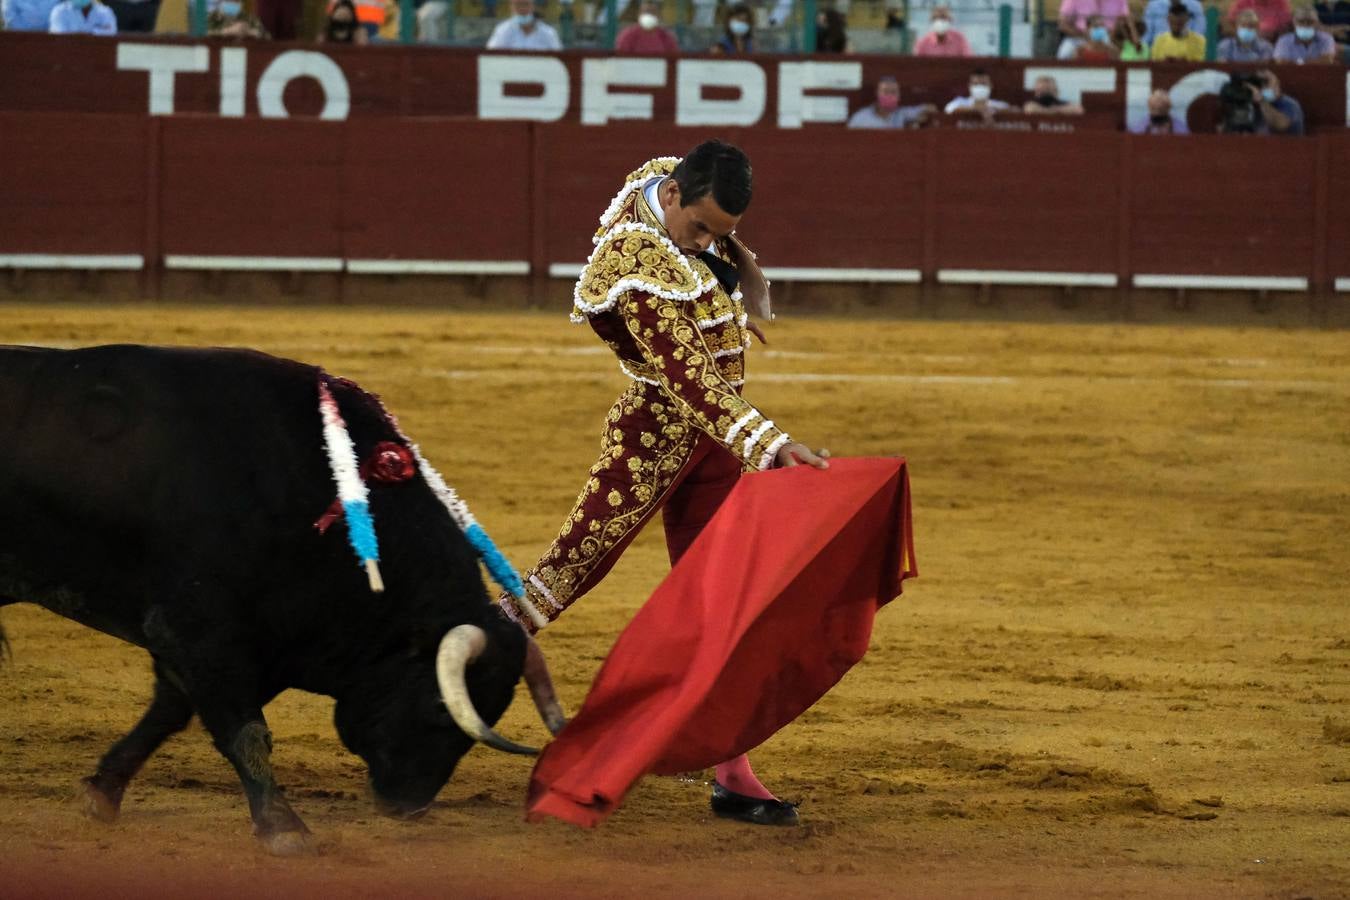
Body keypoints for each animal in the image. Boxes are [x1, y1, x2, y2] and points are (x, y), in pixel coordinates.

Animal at [0, 342, 558, 852]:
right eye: (443, 708)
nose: (409, 806)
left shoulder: (251, 643)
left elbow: (169, 714)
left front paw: (102, 793)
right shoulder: (200, 632)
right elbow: (246, 731)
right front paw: (285, 828)